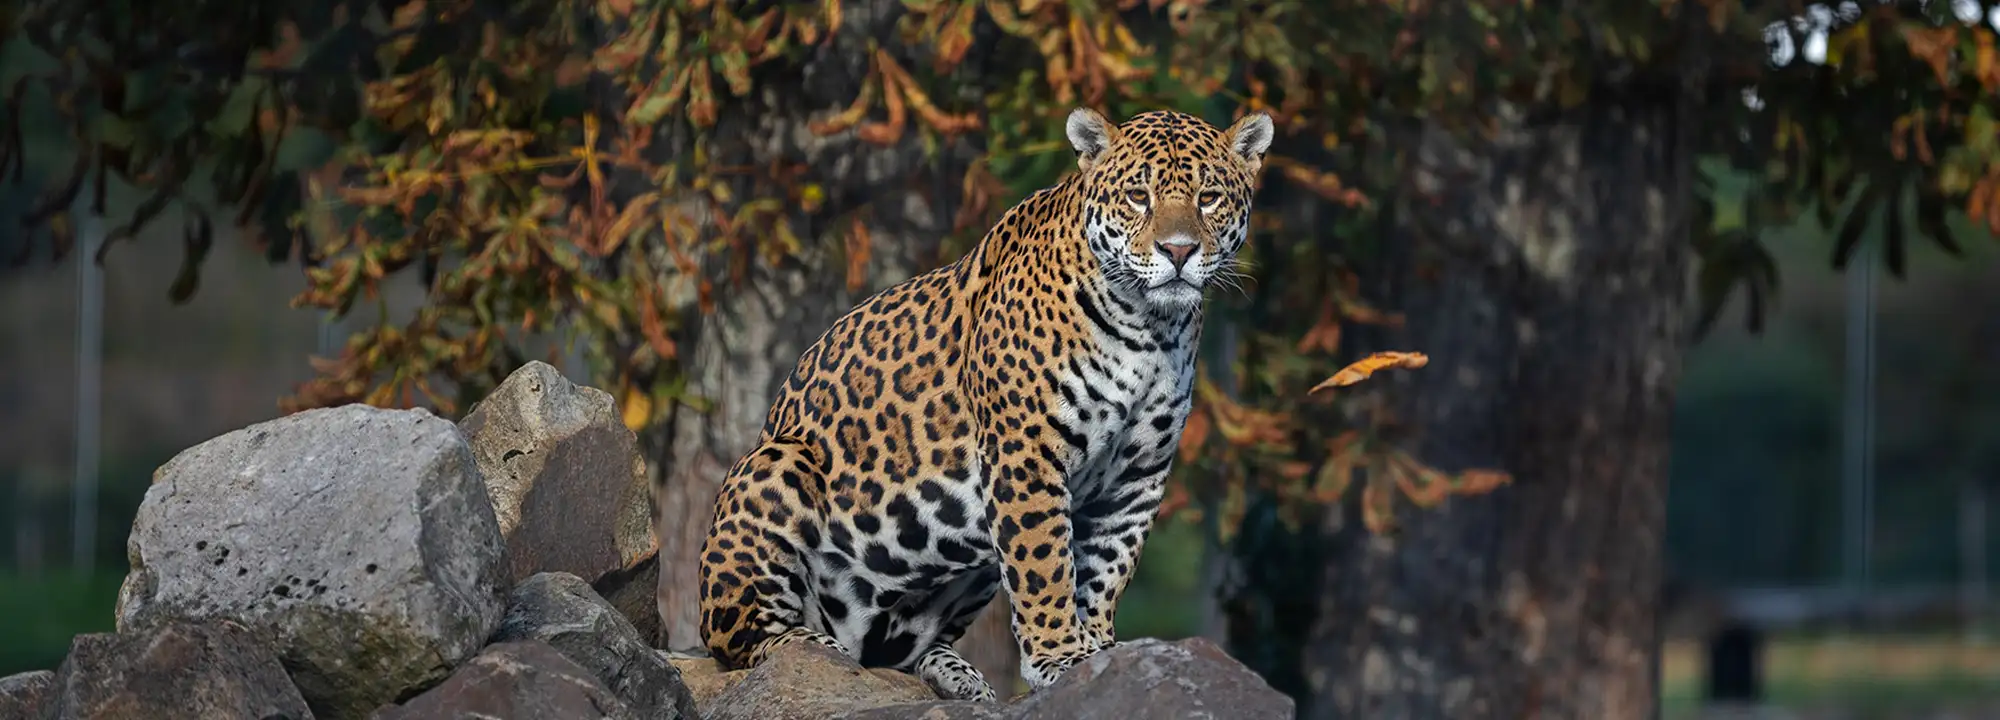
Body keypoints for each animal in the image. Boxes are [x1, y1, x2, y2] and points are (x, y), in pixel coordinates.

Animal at [696, 107, 1274, 701]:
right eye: (1139, 196)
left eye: (1209, 197)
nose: (1179, 251)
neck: (1150, 325)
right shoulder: (1027, 455)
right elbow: (1046, 566)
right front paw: (1061, 656)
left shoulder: (1137, 477)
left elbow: (1106, 571)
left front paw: (1100, 655)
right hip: (777, 467)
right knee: (737, 640)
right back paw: (811, 647)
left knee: (904, 653)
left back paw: (956, 675)